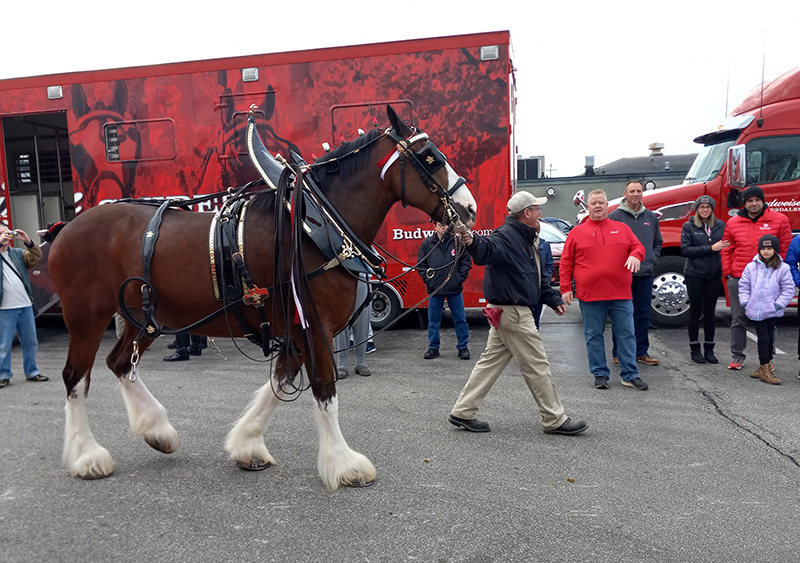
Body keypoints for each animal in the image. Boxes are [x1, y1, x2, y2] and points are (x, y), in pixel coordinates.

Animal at [48, 106, 476, 490]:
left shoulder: (293, 328)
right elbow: (323, 388)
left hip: (146, 317)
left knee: (119, 362)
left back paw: (157, 430)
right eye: (430, 157)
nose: (469, 209)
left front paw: (247, 445)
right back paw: (87, 455)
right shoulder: (313, 325)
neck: (316, 225)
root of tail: (65, 228)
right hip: (87, 317)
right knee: (75, 377)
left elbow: (280, 382)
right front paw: (343, 464)